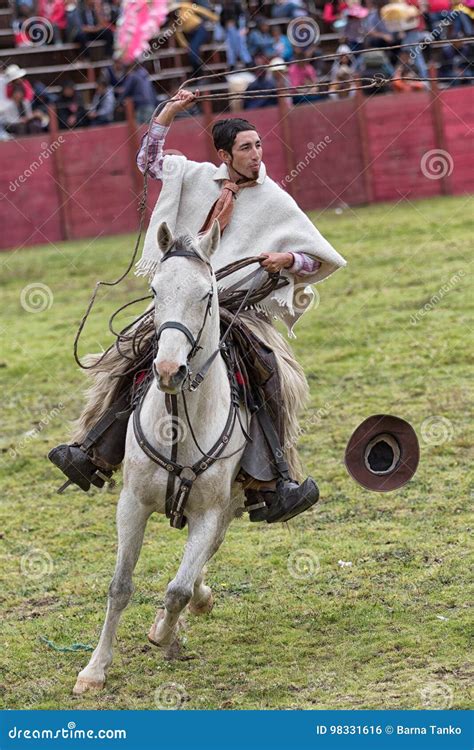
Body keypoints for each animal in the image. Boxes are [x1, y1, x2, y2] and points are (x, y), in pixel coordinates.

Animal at [73, 222, 248, 700]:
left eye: (207, 294)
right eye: (155, 291)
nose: (169, 370)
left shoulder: (210, 511)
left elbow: (177, 590)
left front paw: (164, 635)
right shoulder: (132, 504)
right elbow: (119, 586)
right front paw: (94, 670)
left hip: (232, 503)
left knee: (205, 559)